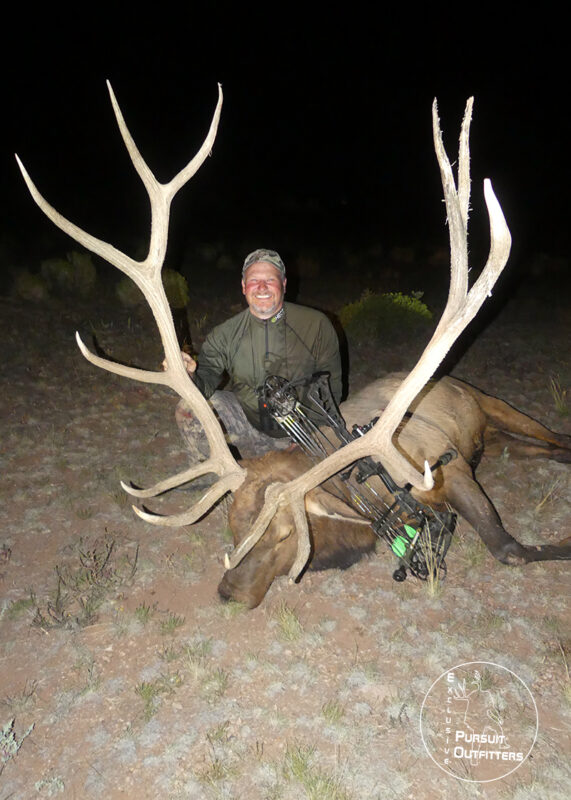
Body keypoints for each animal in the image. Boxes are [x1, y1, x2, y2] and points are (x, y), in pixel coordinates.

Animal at [15, 87, 568, 608]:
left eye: (284, 535)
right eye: (232, 526)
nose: (229, 592)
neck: (362, 488)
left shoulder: (444, 467)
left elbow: (508, 548)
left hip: (494, 405)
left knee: (552, 435)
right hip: (497, 435)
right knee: (524, 449)